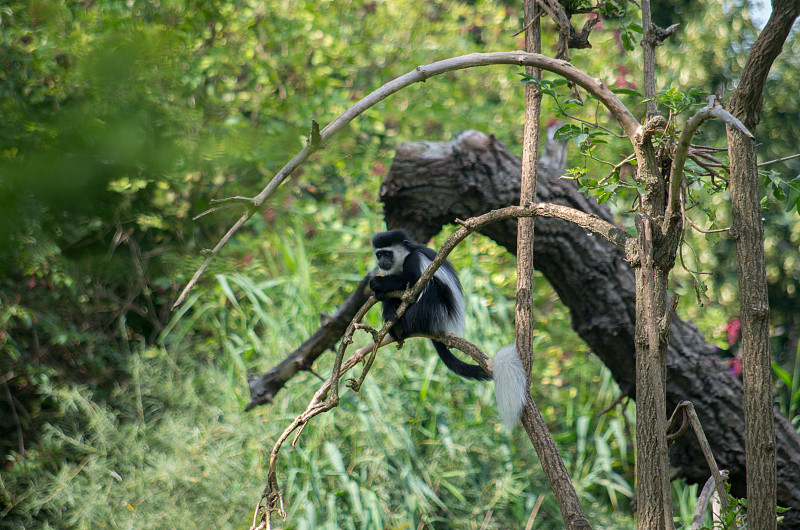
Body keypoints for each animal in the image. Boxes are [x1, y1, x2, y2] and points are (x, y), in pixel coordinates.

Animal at [370, 229, 532, 426]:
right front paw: (382, 296)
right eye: (379, 254)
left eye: (388, 253)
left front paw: (380, 284)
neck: (401, 261)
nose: (381, 262)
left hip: (436, 312)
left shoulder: (414, 259)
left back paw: (404, 325)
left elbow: (412, 282)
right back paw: (394, 325)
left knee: (431, 289)